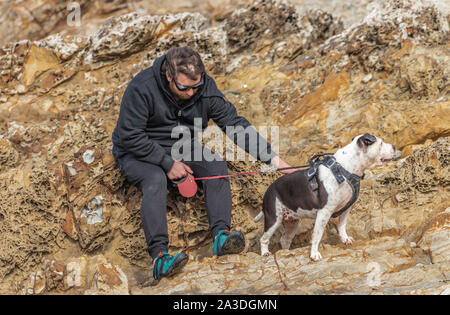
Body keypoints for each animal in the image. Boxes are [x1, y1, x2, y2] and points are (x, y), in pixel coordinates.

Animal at [255, 133, 396, 262]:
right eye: (381, 143)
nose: (394, 146)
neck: (345, 169)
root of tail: (269, 190)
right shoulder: (324, 212)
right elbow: (317, 235)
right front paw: (314, 254)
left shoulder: (346, 208)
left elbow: (342, 225)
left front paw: (345, 238)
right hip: (274, 219)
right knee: (264, 238)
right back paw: (265, 253)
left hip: (292, 222)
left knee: (285, 239)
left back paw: (286, 252)